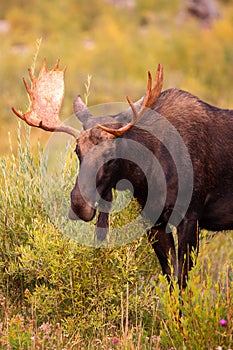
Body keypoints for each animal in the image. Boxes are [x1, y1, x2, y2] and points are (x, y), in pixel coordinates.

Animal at [12, 60, 233, 290]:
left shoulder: (190, 217)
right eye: (77, 150)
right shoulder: (153, 222)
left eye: (112, 153)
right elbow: (170, 278)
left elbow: (181, 283)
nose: (79, 204)